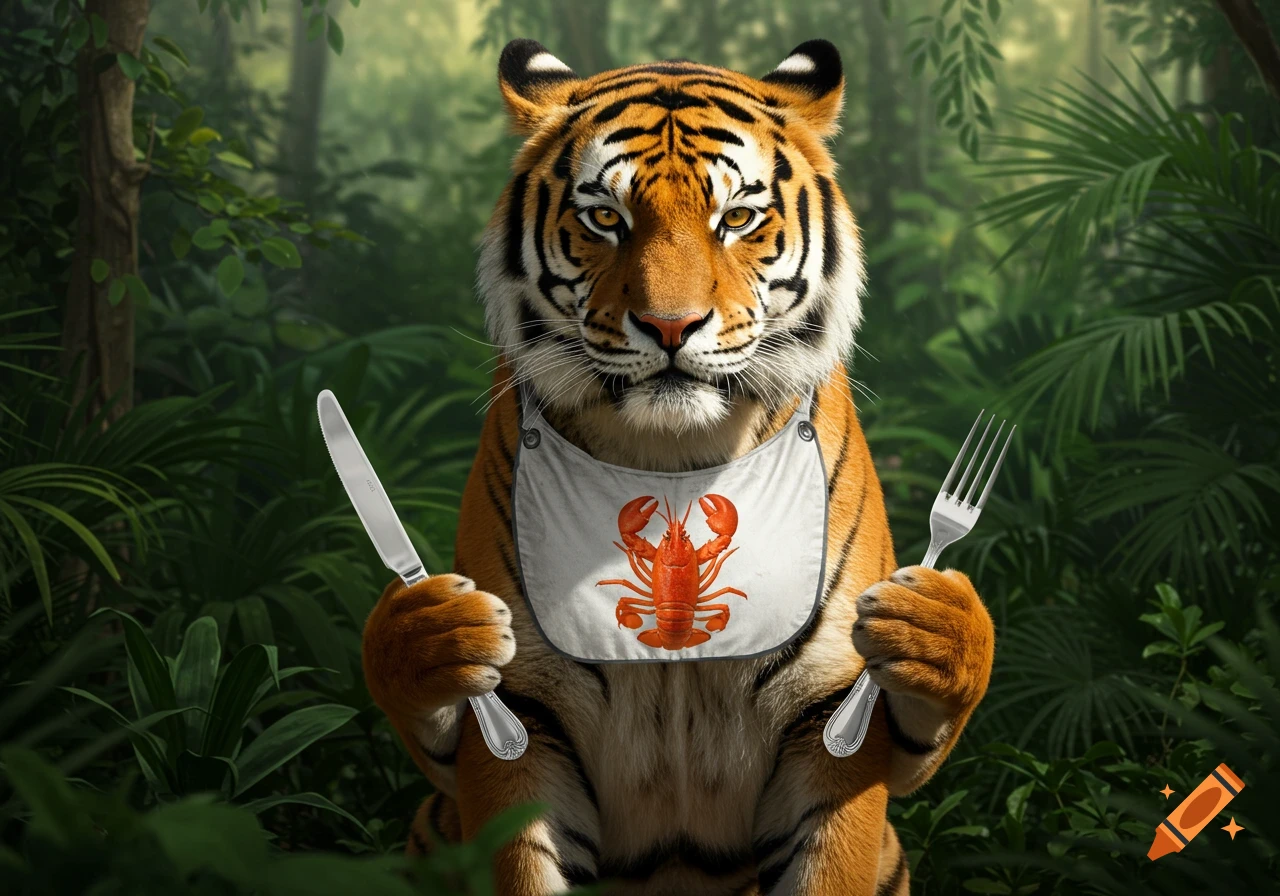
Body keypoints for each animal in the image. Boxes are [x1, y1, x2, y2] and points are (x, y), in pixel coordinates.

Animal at [361, 38, 996, 896]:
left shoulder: (830, 715)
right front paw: (432, 632)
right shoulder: (523, 718)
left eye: (738, 218)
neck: (672, 457)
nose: (669, 326)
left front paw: (933, 624)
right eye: (605, 217)